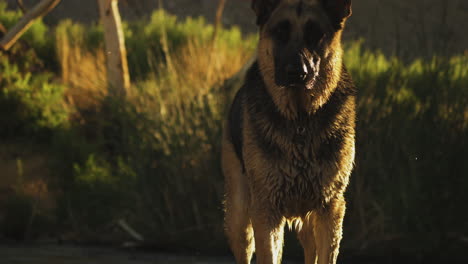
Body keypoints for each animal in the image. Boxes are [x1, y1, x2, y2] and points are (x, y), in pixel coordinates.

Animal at [223, 0, 354, 264]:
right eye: (280, 31)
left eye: (316, 34)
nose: (297, 72)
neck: (300, 119)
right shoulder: (266, 210)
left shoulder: (330, 209)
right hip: (240, 218)